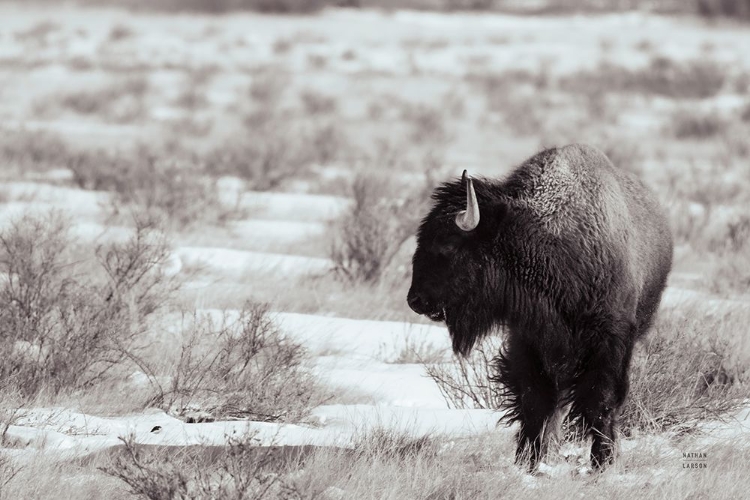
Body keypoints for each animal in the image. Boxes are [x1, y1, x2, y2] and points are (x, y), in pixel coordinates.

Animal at [412, 143, 676, 470]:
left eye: (447, 244)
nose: (415, 300)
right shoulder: (530, 340)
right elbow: (534, 401)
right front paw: (527, 461)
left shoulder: (610, 339)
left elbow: (600, 400)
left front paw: (602, 462)